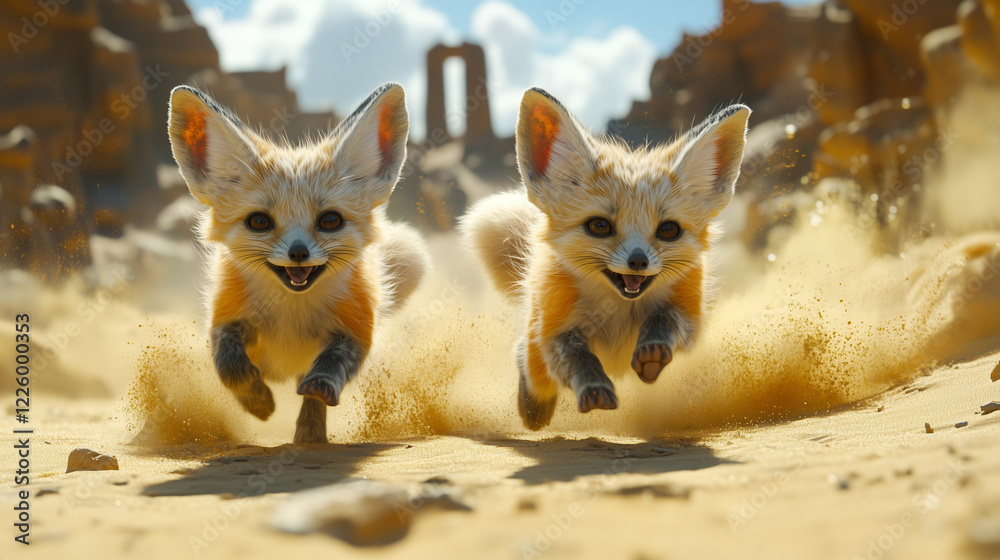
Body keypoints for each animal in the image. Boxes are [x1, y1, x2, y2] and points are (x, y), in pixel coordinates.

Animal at [167, 82, 429, 444]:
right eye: (259, 222)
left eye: (330, 221)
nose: (298, 253)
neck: (293, 312)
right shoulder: (228, 319)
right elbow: (229, 366)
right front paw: (257, 401)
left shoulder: (356, 331)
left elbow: (330, 365)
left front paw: (319, 391)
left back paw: (309, 436)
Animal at [461, 88, 750, 430]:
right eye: (600, 226)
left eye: (668, 230)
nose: (638, 261)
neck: (619, 314)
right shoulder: (555, 332)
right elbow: (579, 357)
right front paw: (594, 388)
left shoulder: (690, 322)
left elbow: (663, 318)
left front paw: (652, 351)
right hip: (537, 347)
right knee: (530, 365)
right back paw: (533, 406)